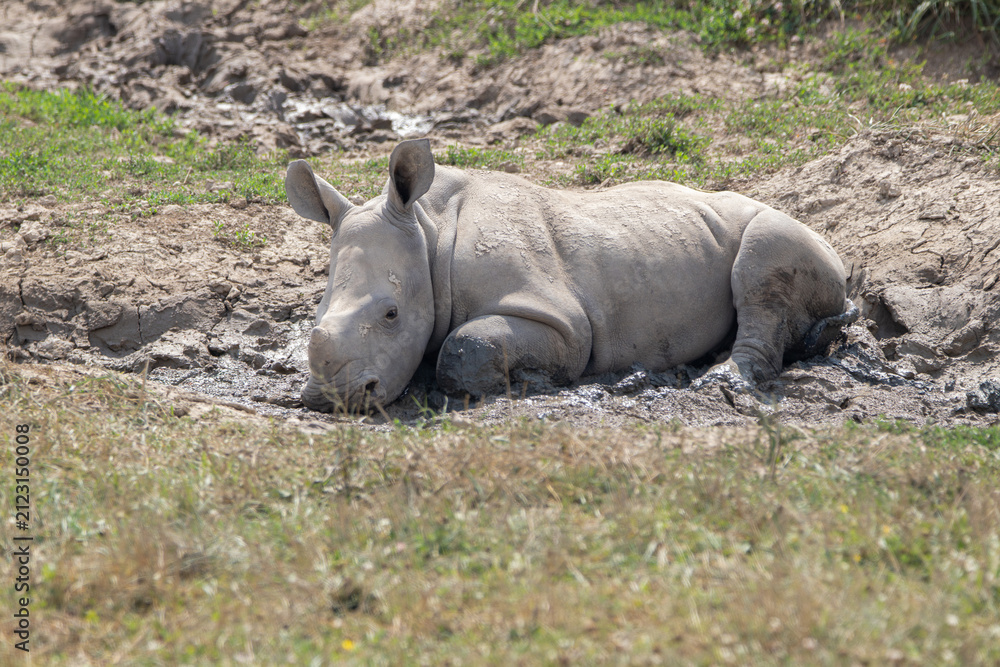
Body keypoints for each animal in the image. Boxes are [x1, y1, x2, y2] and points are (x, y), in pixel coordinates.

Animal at [286, 139, 856, 412]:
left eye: (391, 314)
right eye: (316, 311)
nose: (327, 400)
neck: (427, 228)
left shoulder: (561, 320)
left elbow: (466, 345)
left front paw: (531, 381)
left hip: (781, 228)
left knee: (762, 257)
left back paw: (721, 379)